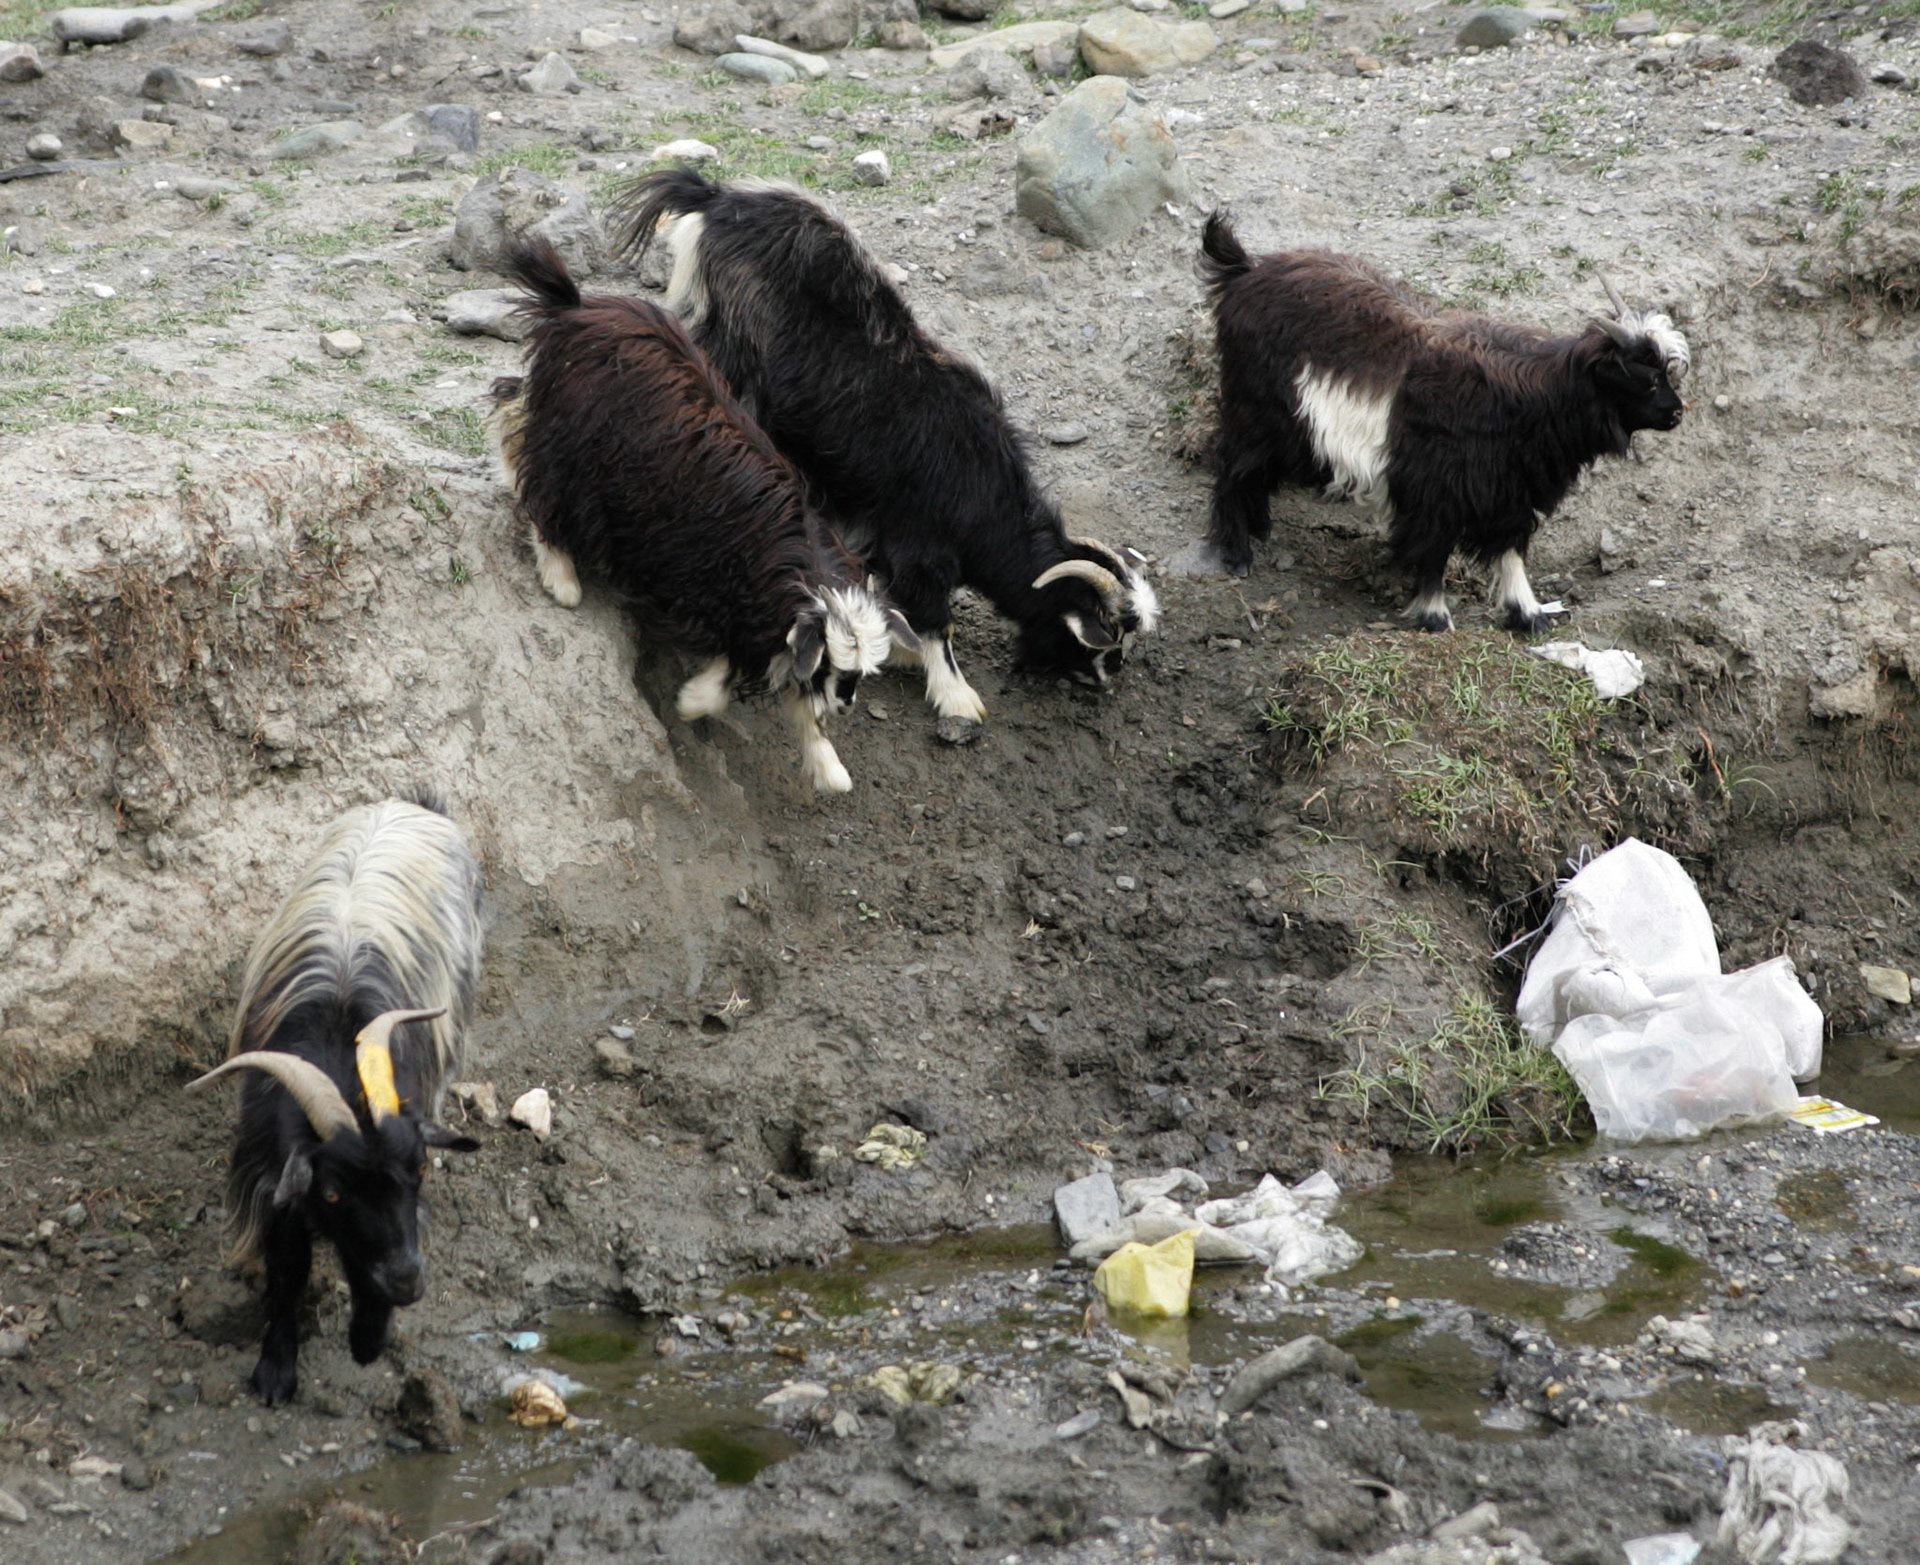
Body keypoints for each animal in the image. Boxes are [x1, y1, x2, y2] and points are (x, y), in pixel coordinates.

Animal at [186, 795, 483, 1406]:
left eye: (421, 1168)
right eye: (333, 1192)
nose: (408, 1283)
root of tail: (414, 804)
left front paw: (369, 1338)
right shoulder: (277, 1172)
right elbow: (288, 1269)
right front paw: (275, 1373)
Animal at [492, 238, 909, 794]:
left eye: (859, 668)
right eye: (829, 664)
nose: (845, 704)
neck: (791, 557)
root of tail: (575, 306)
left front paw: (828, 765)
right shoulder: (697, 584)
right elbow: (729, 665)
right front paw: (694, 702)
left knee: (512, 417)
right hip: (575, 456)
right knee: (539, 484)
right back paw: (562, 579)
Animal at [610, 169, 1160, 727]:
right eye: (1104, 633)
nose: (1105, 679)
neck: (983, 494)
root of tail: (714, 196)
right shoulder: (919, 547)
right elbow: (938, 622)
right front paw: (957, 697)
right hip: (724, 341)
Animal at [1199, 212, 1689, 631]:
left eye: (1665, 372)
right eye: (1645, 379)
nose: (1677, 412)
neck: (1530, 399)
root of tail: (1243, 271)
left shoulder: (1509, 490)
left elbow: (1510, 549)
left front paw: (1529, 614)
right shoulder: (1436, 487)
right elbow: (1433, 550)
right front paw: (1435, 616)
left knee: (1253, 471)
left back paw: (1261, 527)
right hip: (1255, 411)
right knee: (1231, 466)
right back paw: (1237, 553)